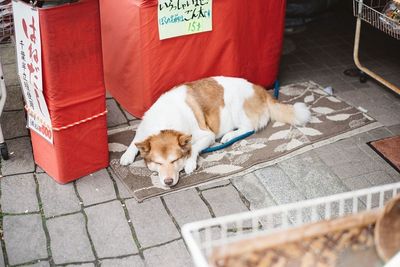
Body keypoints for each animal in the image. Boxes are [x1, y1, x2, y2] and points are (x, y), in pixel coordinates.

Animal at [120, 76, 310, 187]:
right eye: (158, 163)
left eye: (175, 160)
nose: (168, 182)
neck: (165, 121)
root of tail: (261, 89)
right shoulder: (143, 129)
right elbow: (134, 140)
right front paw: (127, 155)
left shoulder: (207, 135)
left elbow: (194, 148)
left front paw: (190, 163)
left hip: (237, 105)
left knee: (249, 127)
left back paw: (229, 135)